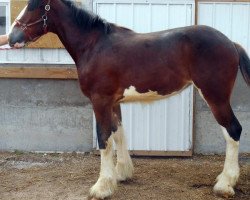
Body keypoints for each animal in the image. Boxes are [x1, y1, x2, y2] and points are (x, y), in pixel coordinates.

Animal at [8, 0, 250, 199]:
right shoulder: (114, 103)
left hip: (215, 97)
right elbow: (119, 134)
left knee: (233, 131)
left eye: (36, 6)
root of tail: (231, 43)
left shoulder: (100, 101)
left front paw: (101, 187)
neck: (94, 45)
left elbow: (104, 139)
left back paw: (225, 184)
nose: (12, 38)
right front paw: (121, 174)